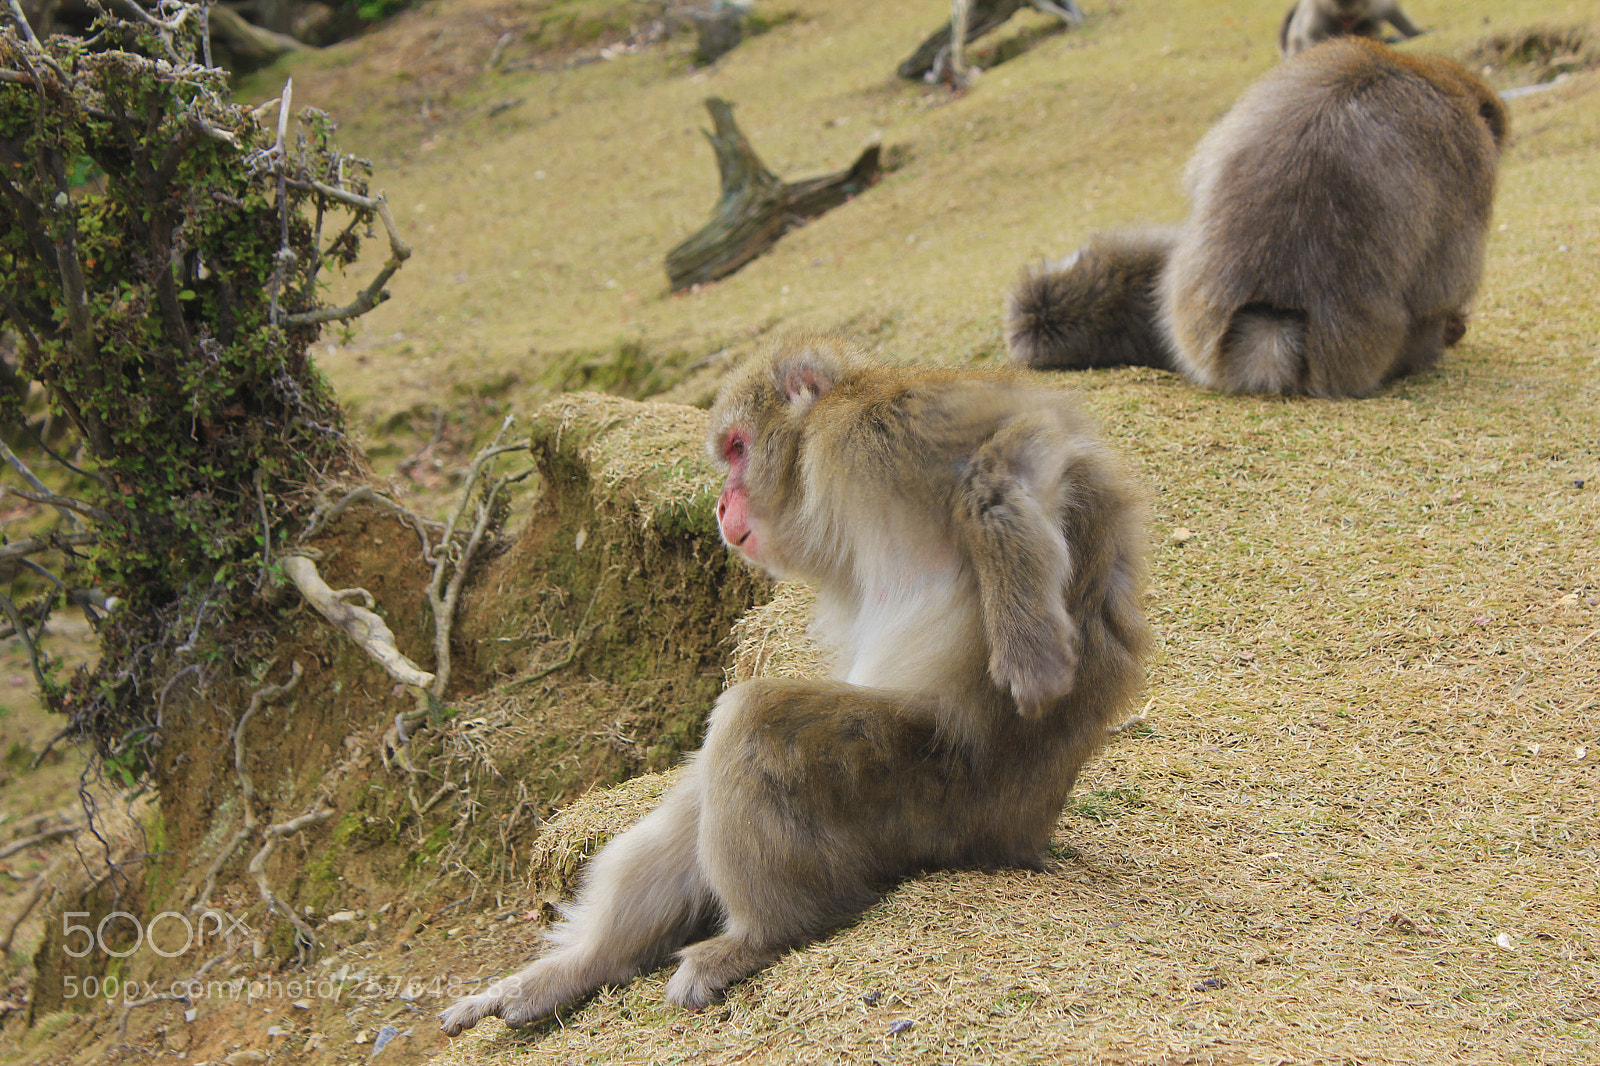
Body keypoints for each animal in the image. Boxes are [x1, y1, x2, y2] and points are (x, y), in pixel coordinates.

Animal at [439, 333, 1149, 1035]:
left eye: (737, 449)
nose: (722, 504)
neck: (813, 455)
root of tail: (1024, 831)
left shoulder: (869, 428)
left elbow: (1026, 437)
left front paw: (1030, 650)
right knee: (704, 783)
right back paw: (583, 966)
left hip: (936, 795)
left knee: (756, 721)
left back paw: (763, 935)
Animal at [1278, 0, 1423, 58]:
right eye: (1343, 17)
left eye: (1350, 16)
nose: (1347, 18)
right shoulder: (1318, 9)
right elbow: (1312, 33)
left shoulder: (1375, 5)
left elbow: (1391, 11)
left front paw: (1415, 32)